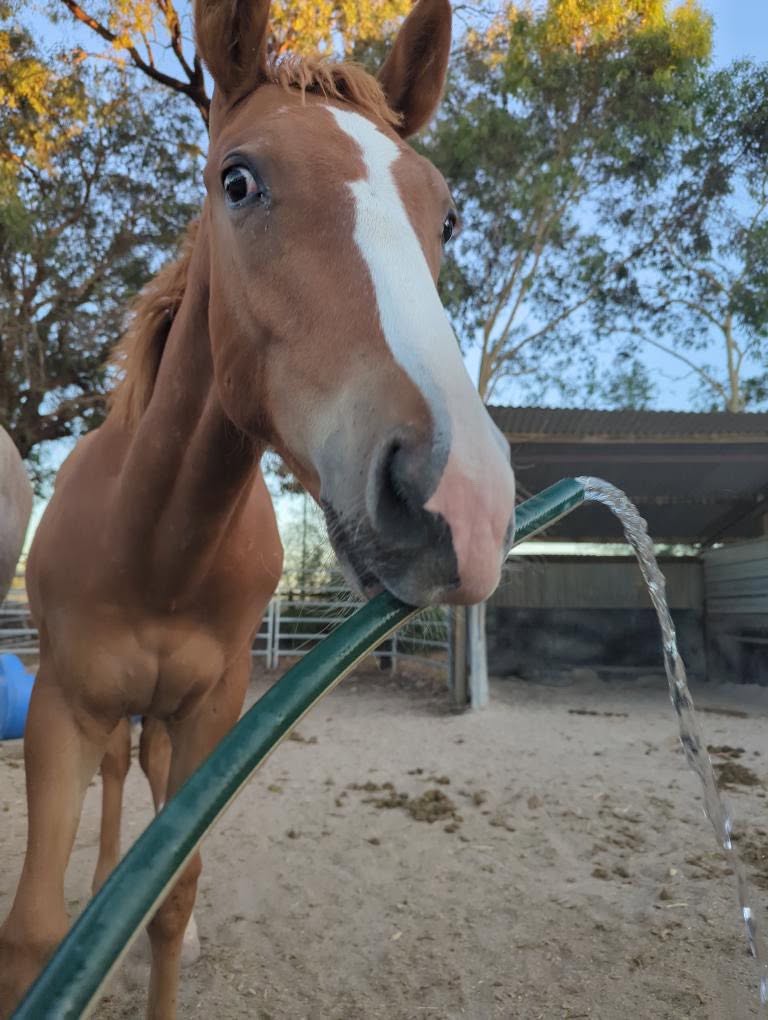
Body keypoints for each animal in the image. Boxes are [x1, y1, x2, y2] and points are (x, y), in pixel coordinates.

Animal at [0, 0, 516, 1015]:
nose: (463, 498)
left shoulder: (215, 709)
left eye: (446, 213)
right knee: (118, 780)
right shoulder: (58, 709)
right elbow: (35, 929)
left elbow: (170, 895)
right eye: (236, 181)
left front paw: (169, 931)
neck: (157, 546)